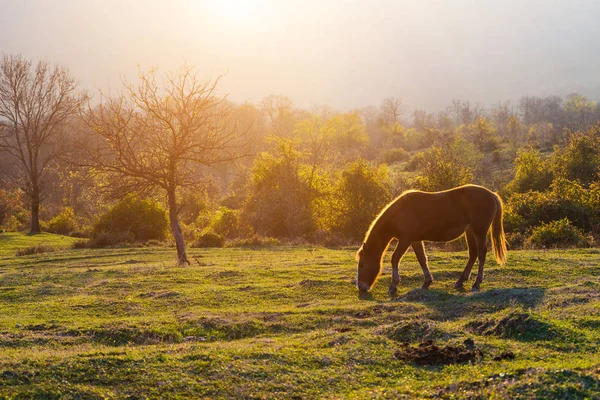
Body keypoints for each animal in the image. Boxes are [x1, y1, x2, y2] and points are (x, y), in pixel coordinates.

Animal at [356, 185, 506, 294]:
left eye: (362, 264)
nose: (361, 287)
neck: (400, 212)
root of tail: (491, 194)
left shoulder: (405, 240)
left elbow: (395, 258)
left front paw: (393, 285)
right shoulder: (415, 240)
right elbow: (422, 259)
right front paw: (427, 282)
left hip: (479, 231)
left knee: (481, 254)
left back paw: (476, 283)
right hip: (470, 232)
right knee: (473, 254)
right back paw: (460, 281)